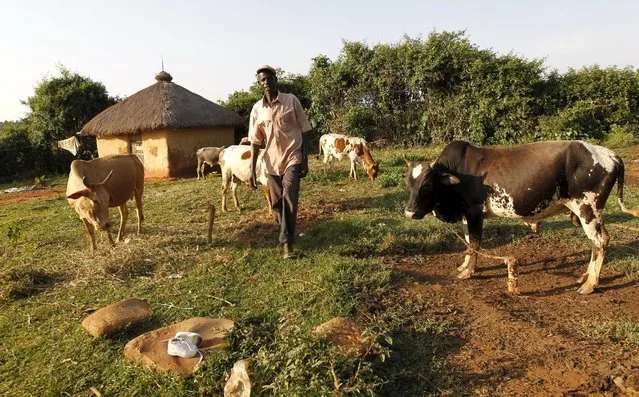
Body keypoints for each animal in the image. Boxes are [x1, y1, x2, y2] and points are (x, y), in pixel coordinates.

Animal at [404, 140, 639, 294]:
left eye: (427, 184)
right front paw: (464, 265)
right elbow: (469, 243)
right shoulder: (465, 214)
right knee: (602, 239)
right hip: (595, 213)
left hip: (587, 209)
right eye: (409, 182)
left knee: (598, 241)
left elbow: (475, 243)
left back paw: (590, 284)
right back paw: (586, 275)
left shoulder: (474, 212)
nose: (409, 212)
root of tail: (613, 156)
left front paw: (468, 272)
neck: (458, 174)